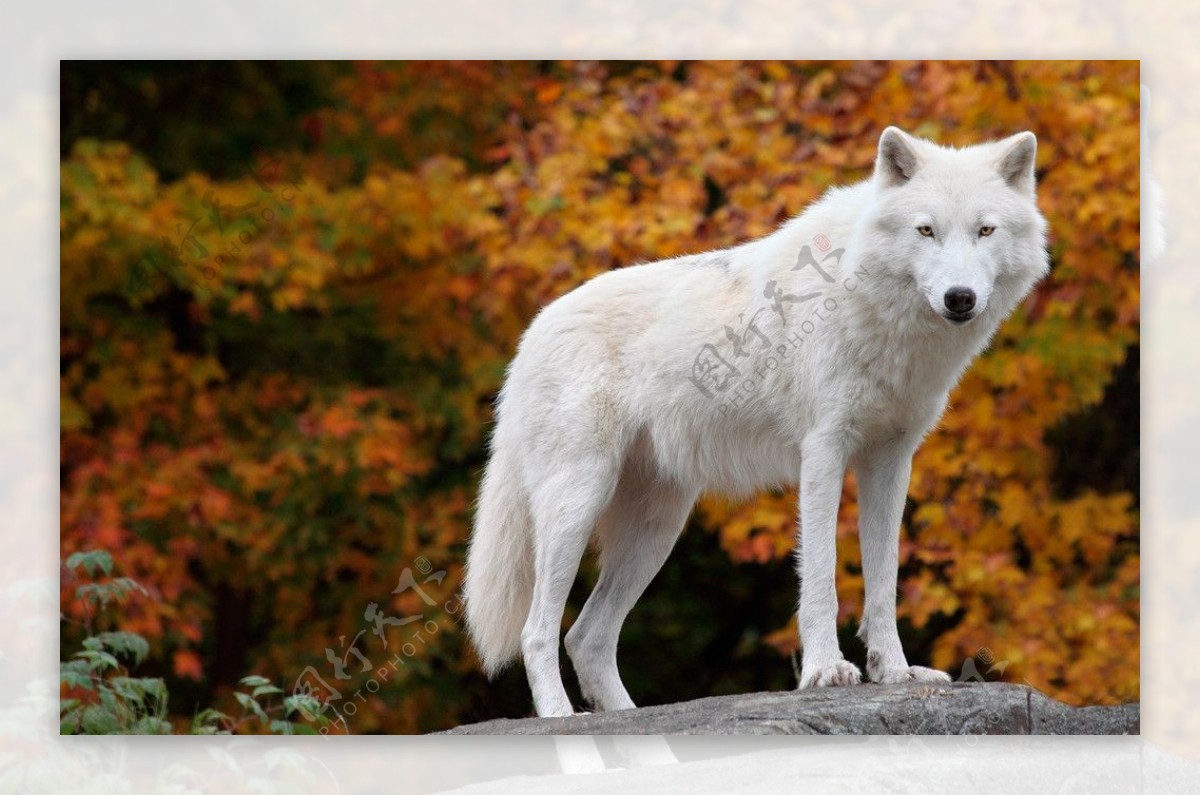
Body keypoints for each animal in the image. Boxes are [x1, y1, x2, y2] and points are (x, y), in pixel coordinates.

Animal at [463, 127, 1046, 720]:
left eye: (985, 230)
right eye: (926, 230)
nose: (960, 298)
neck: (873, 306)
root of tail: (531, 334)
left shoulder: (891, 459)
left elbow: (884, 580)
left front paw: (895, 673)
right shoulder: (824, 450)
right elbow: (821, 574)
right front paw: (825, 671)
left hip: (655, 530)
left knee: (586, 636)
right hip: (577, 505)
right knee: (538, 630)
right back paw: (562, 718)